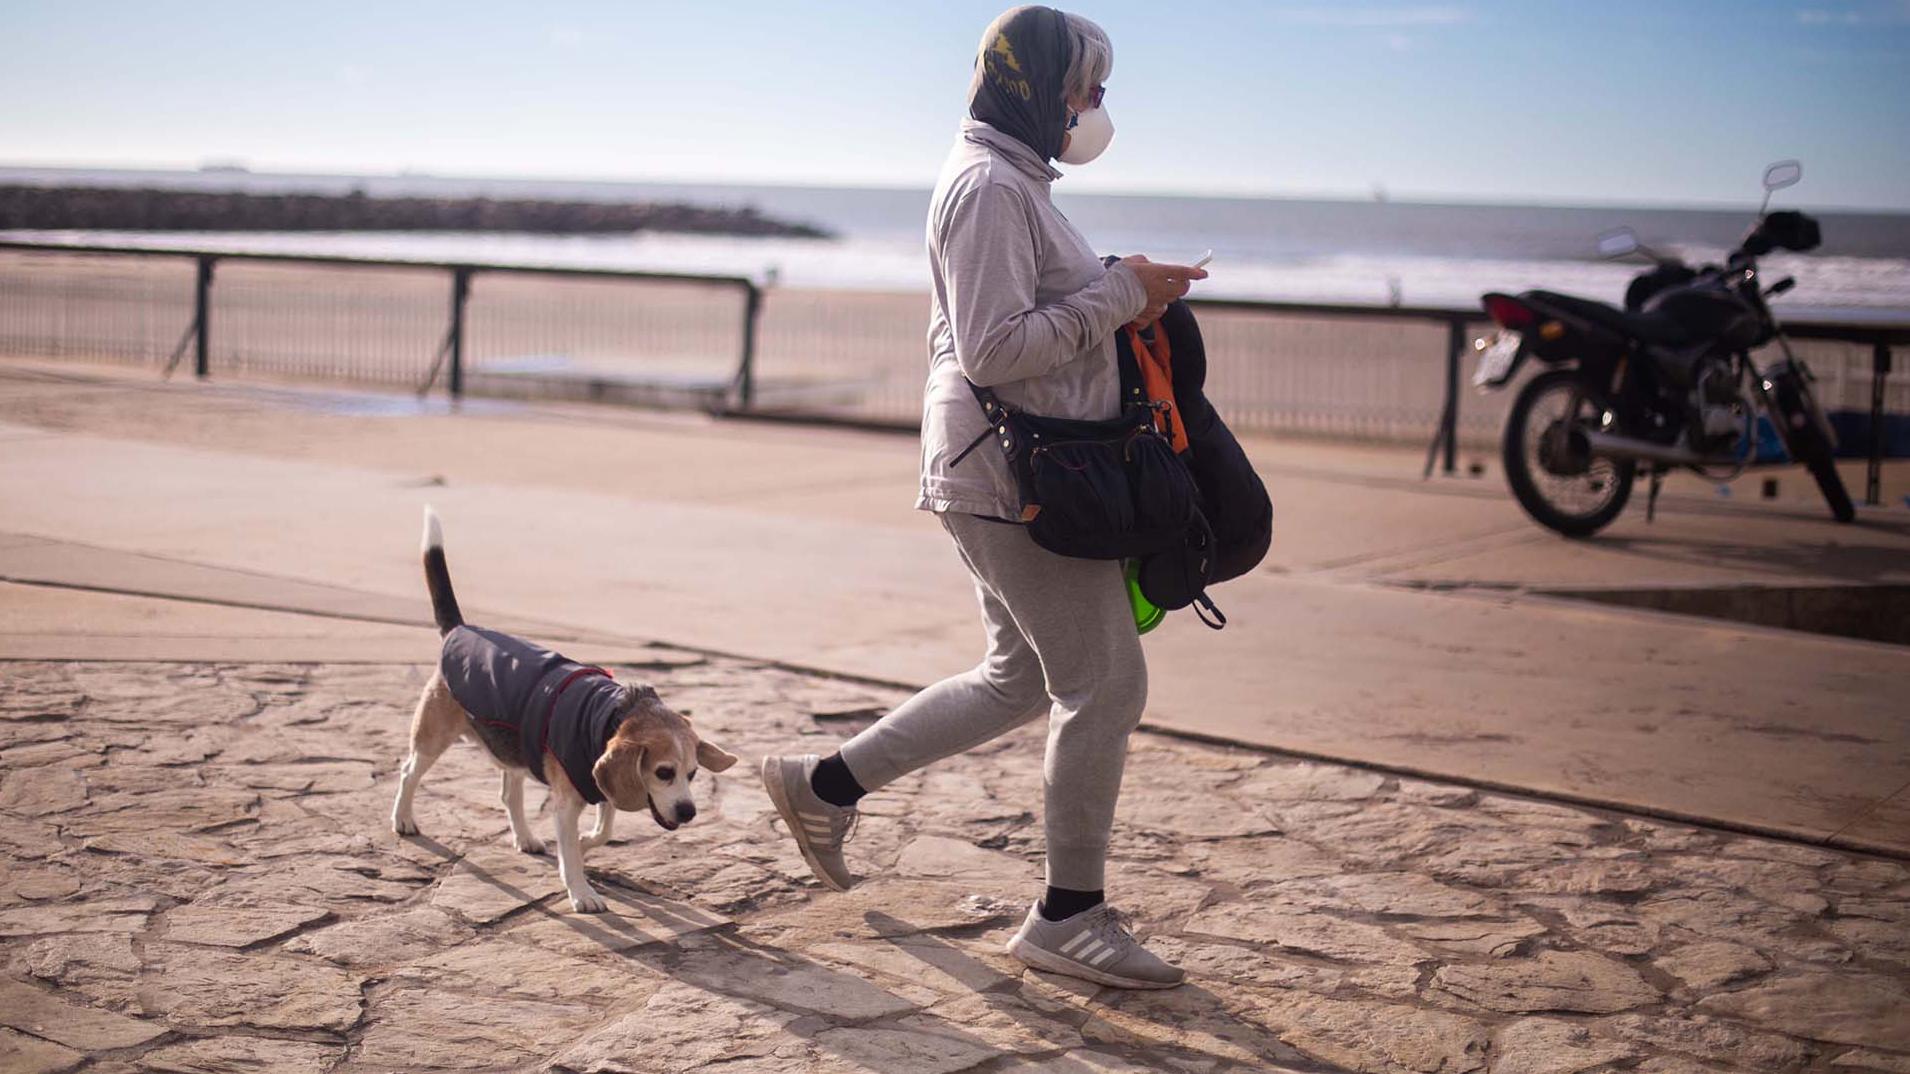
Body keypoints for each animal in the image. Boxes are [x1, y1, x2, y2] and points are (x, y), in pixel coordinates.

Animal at [391, 504, 733, 905]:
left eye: (693, 773)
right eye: (664, 772)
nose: (688, 811)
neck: (610, 714)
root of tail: (460, 629)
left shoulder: (600, 782)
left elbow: (603, 829)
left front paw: (586, 843)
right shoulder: (569, 801)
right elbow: (569, 848)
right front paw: (581, 891)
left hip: (515, 749)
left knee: (509, 793)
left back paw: (524, 837)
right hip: (433, 736)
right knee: (409, 771)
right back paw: (403, 819)